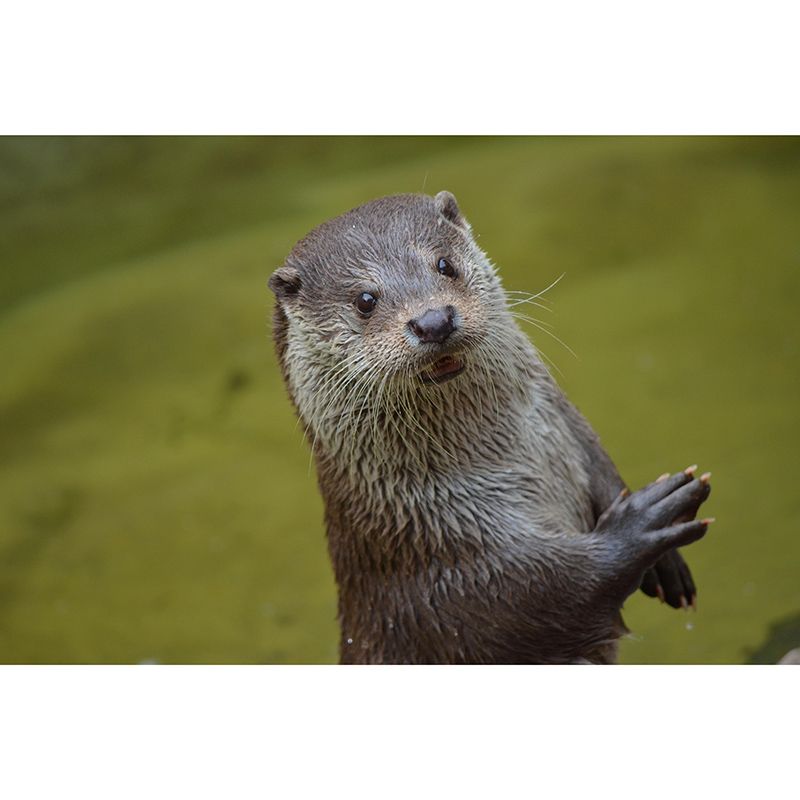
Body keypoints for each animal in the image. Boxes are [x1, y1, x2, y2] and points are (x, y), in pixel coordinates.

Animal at [268, 191, 713, 664]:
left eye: (444, 265)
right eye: (365, 299)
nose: (433, 320)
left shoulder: (571, 430)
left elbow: (601, 466)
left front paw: (667, 563)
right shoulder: (446, 576)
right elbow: (540, 596)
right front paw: (643, 524)